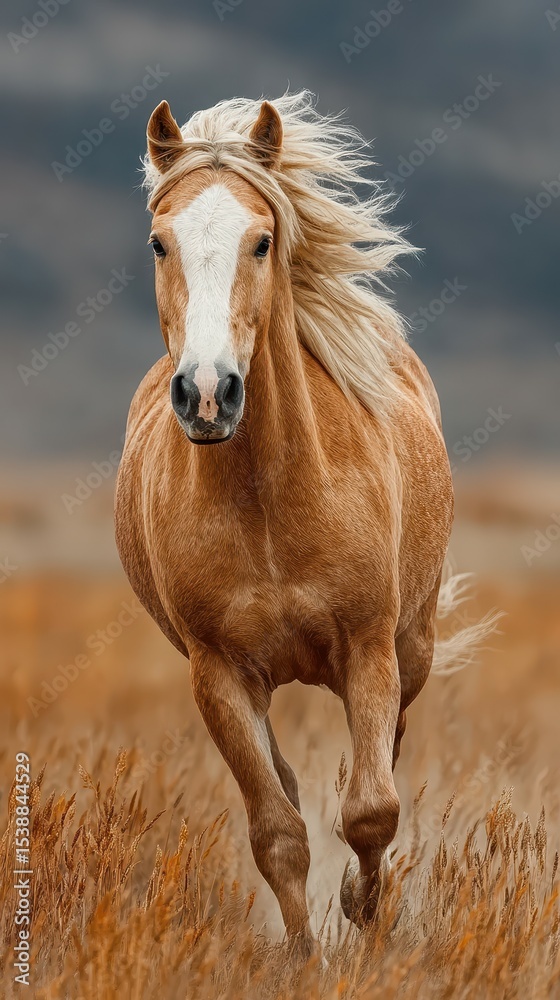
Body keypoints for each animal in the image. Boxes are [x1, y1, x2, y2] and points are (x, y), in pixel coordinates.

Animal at [115, 91, 485, 960]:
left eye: (261, 241)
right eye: (158, 242)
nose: (207, 393)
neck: (270, 505)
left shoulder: (370, 648)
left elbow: (372, 809)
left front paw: (364, 916)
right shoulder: (218, 674)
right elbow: (278, 831)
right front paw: (304, 957)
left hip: (413, 646)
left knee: (385, 755)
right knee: (284, 786)